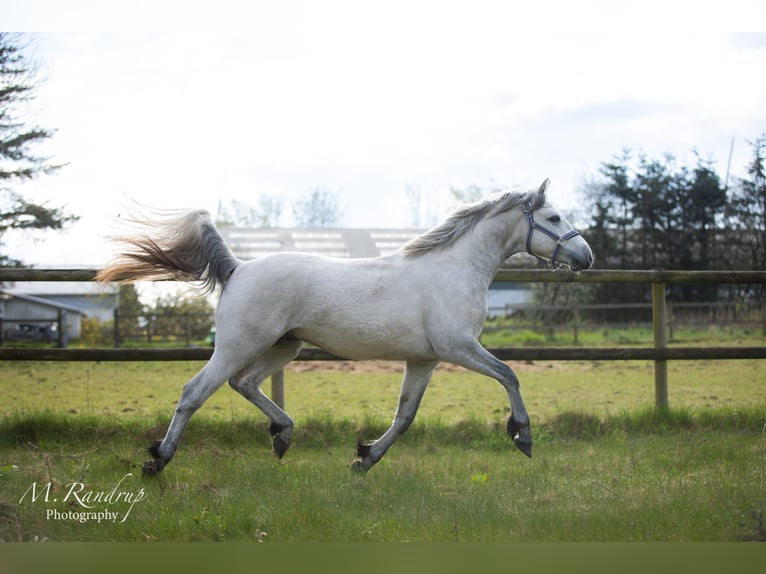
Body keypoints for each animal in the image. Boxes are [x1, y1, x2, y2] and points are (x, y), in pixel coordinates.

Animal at [97, 179, 592, 472]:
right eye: (553, 218)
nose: (585, 257)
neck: (454, 268)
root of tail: (238, 268)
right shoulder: (458, 348)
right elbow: (509, 375)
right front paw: (522, 435)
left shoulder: (425, 360)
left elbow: (405, 416)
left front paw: (365, 457)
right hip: (239, 345)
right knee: (194, 392)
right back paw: (158, 460)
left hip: (284, 346)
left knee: (244, 384)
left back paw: (283, 435)